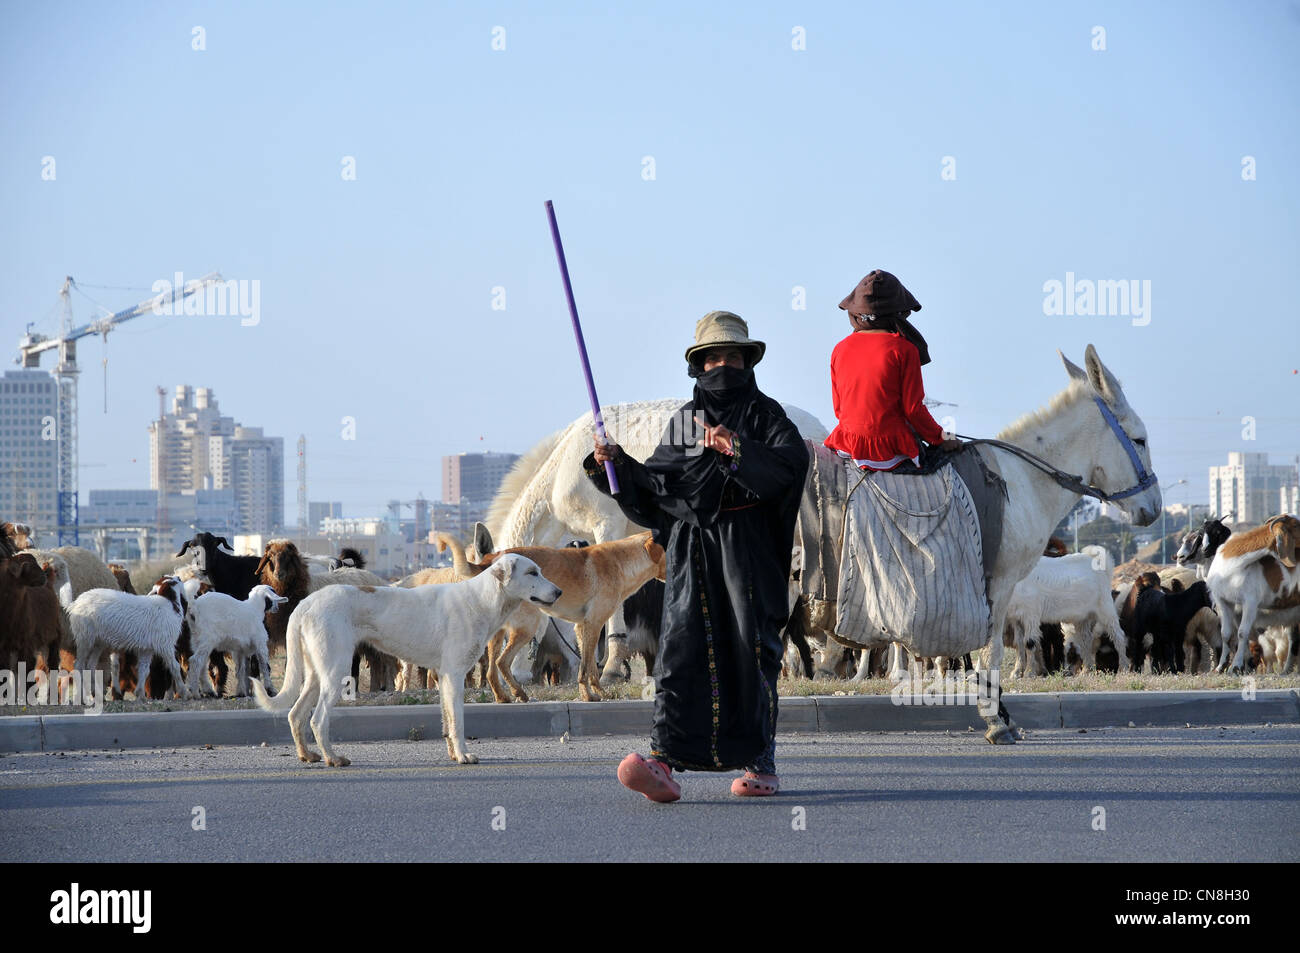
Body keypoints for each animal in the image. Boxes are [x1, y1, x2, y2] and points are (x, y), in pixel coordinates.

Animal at [250, 551, 561, 764]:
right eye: (532, 572)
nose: (558, 592)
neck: (481, 599)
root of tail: (306, 602)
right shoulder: (455, 675)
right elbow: (458, 722)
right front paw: (464, 756)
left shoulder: (443, 678)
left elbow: (447, 720)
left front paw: (453, 754)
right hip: (336, 671)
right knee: (317, 719)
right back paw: (333, 759)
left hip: (317, 673)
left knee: (295, 714)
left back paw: (307, 755)